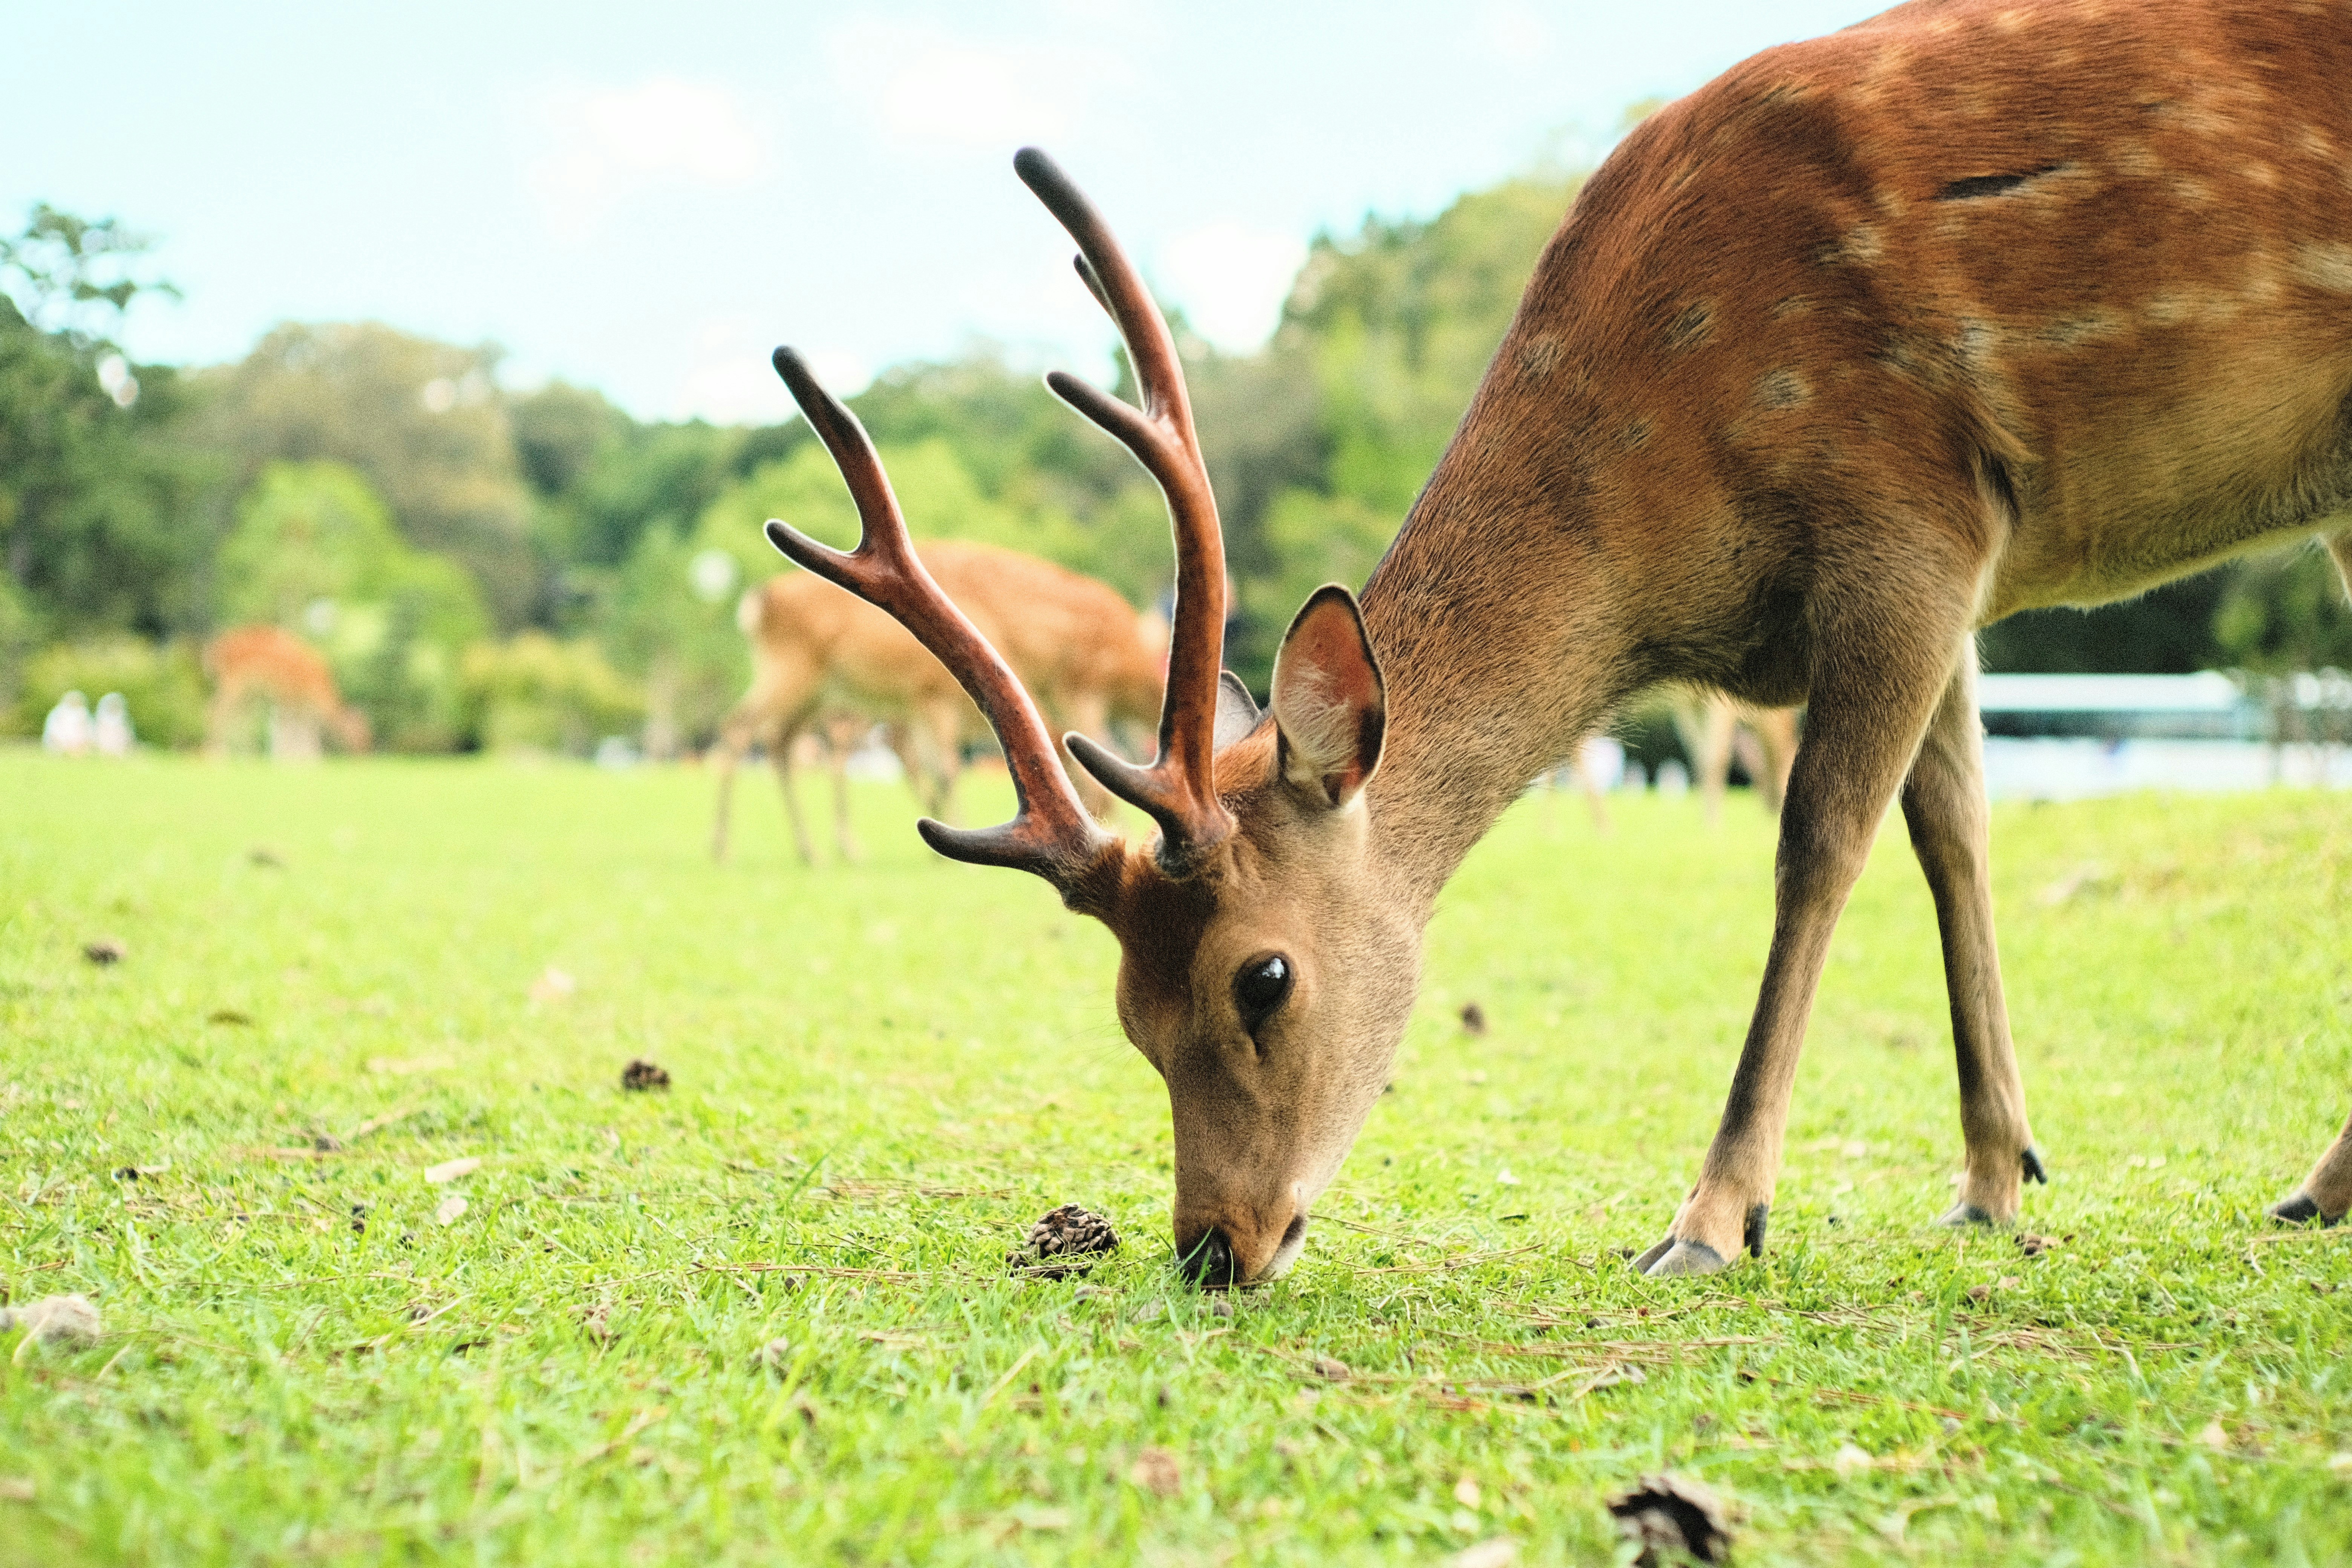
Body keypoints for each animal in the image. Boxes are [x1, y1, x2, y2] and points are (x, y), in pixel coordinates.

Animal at [204, 626, 370, 761]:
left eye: (368, 735)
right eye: (360, 736)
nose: (364, 755)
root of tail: (213, 652)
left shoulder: (292, 704)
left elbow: (295, 731)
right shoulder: (295, 701)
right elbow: (297, 732)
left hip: (249, 692)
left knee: (241, 719)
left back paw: (246, 755)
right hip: (235, 683)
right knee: (216, 710)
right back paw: (216, 755)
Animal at [709, 539, 1165, 863]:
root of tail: (756, 604)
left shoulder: (923, 707)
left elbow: (933, 765)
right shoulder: (940, 700)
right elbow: (946, 767)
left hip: (819, 693)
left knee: (783, 743)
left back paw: (816, 849)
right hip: (794, 675)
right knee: (741, 730)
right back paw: (727, 848)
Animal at [759, 0, 2352, 1288]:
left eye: (1261, 979)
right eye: (1126, 1014)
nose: (1214, 1244)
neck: (1668, 530)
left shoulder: (1908, 517)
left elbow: (1821, 845)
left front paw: (1713, 1220)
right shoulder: (1953, 572)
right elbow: (1955, 830)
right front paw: (1992, 1182)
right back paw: (2313, 1187)